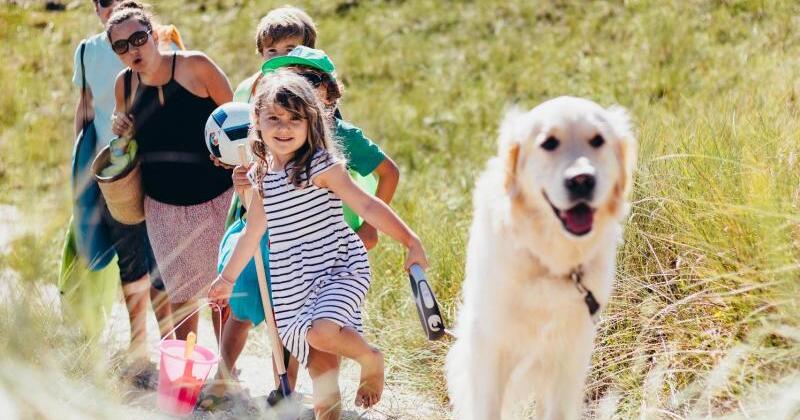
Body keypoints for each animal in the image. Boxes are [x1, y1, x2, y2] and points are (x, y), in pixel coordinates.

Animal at [446, 97, 636, 418]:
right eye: (549, 143)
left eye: (598, 140)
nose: (582, 180)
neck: (550, 260)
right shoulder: (490, 344)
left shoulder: (570, 353)